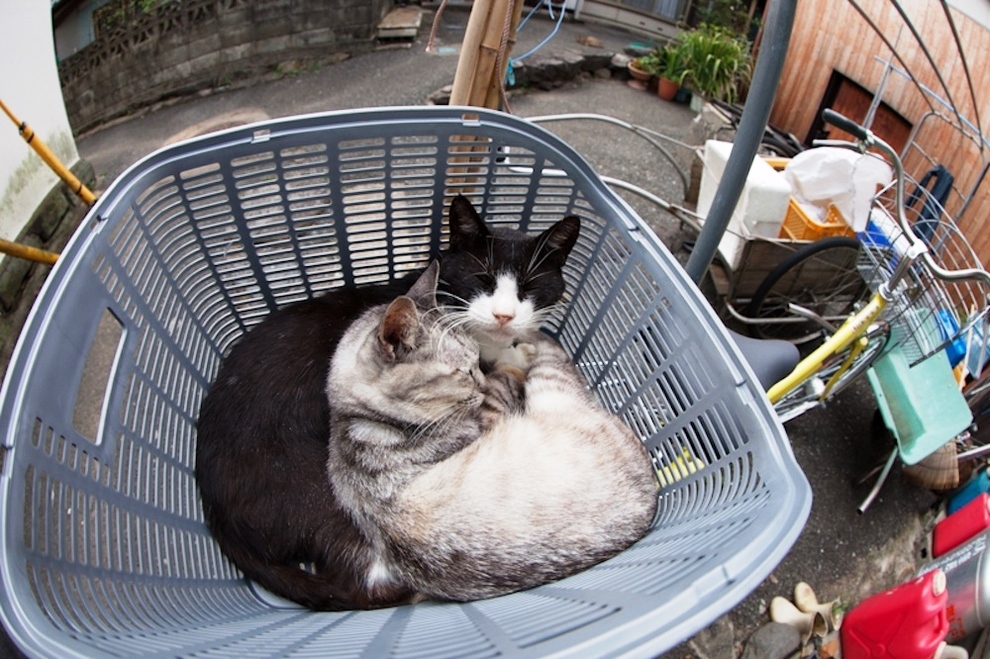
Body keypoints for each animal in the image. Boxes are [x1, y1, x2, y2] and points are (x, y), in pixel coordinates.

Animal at [330, 262, 664, 604]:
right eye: (464, 372)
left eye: (476, 360)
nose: (480, 378)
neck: (357, 417)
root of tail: (654, 496)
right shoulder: (489, 414)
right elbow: (506, 374)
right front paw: (513, 355)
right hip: (549, 386)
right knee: (551, 351)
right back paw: (529, 331)